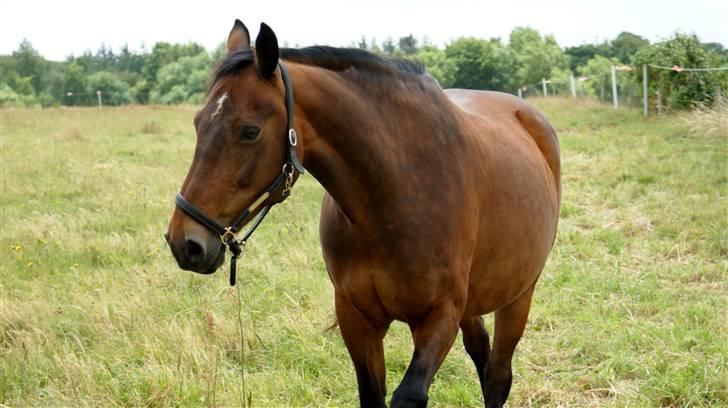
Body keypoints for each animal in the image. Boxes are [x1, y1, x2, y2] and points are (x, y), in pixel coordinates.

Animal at [165, 19, 560, 408]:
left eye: (250, 131)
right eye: (199, 123)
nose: (184, 242)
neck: (392, 199)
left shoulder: (441, 313)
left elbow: (409, 395)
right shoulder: (356, 317)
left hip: (518, 295)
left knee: (497, 376)